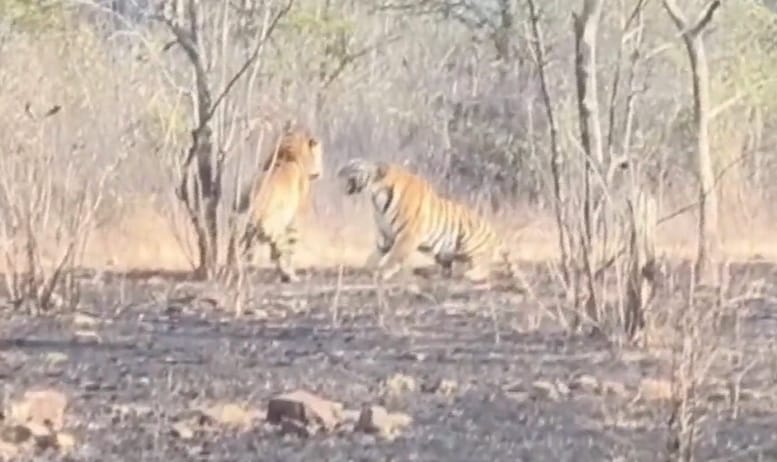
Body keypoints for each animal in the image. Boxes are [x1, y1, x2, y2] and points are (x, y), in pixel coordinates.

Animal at [235, 125, 323, 283]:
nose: (321, 171)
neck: (287, 154)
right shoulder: (295, 218)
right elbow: (290, 248)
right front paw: (289, 273)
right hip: (276, 227)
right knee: (280, 252)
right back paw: (288, 275)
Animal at [336, 158, 516, 284]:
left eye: (353, 166)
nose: (338, 170)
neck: (377, 197)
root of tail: (495, 234)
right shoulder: (385, 235)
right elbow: (375, 254)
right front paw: (368, 267)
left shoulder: (408, 234)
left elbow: (395, 255)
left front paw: (382, 272)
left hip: (469, 239)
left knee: (484, 264)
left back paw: (470, 274)